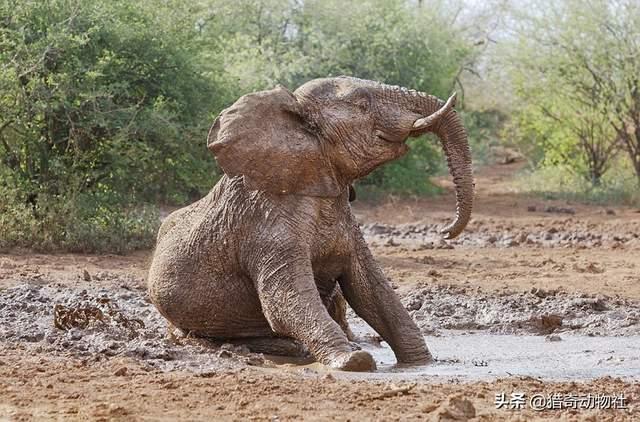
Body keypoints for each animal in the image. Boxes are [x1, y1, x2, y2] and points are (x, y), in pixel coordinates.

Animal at [148, 76, 472, 372]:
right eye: (362, 105)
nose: (446, 231)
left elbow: (372, 291)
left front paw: (422, 364)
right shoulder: (266, 224)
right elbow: (285, 300)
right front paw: (353, 362)